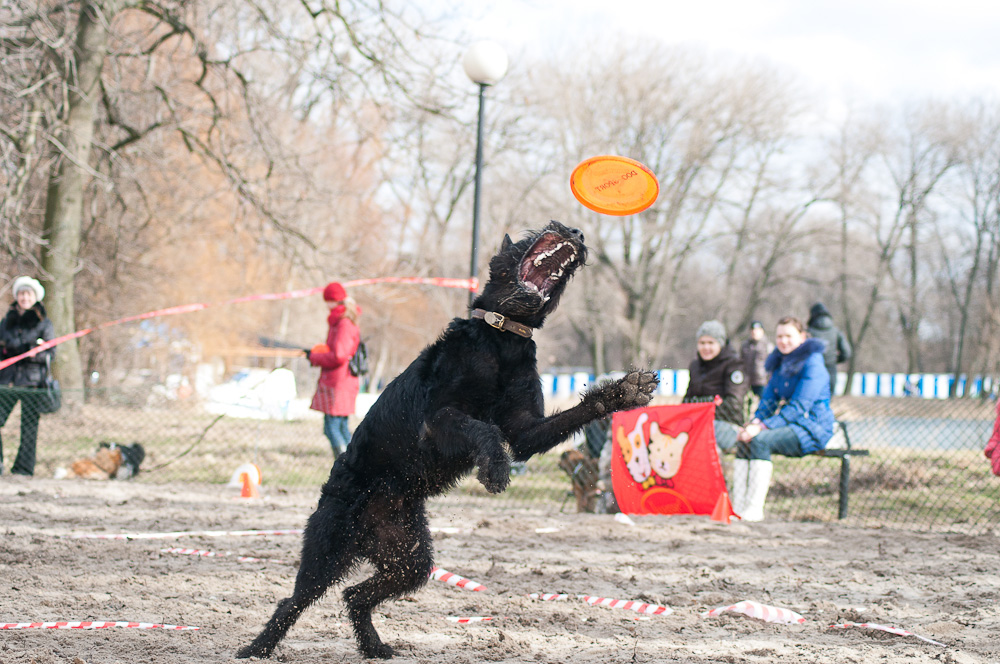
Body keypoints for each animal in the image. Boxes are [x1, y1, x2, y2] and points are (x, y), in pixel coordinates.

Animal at [233, 222, 656, 660]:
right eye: (524, 241)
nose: (574, 230)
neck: (502, 339)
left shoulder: (525, 431)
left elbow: (569, 415)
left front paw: (623, 392)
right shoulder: (437, 420)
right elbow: (484, 430)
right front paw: (495, 470)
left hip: (409, 558)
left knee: (354, 595)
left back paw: (373, 645)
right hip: (328, 551)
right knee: (294, 600)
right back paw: (257, 647)